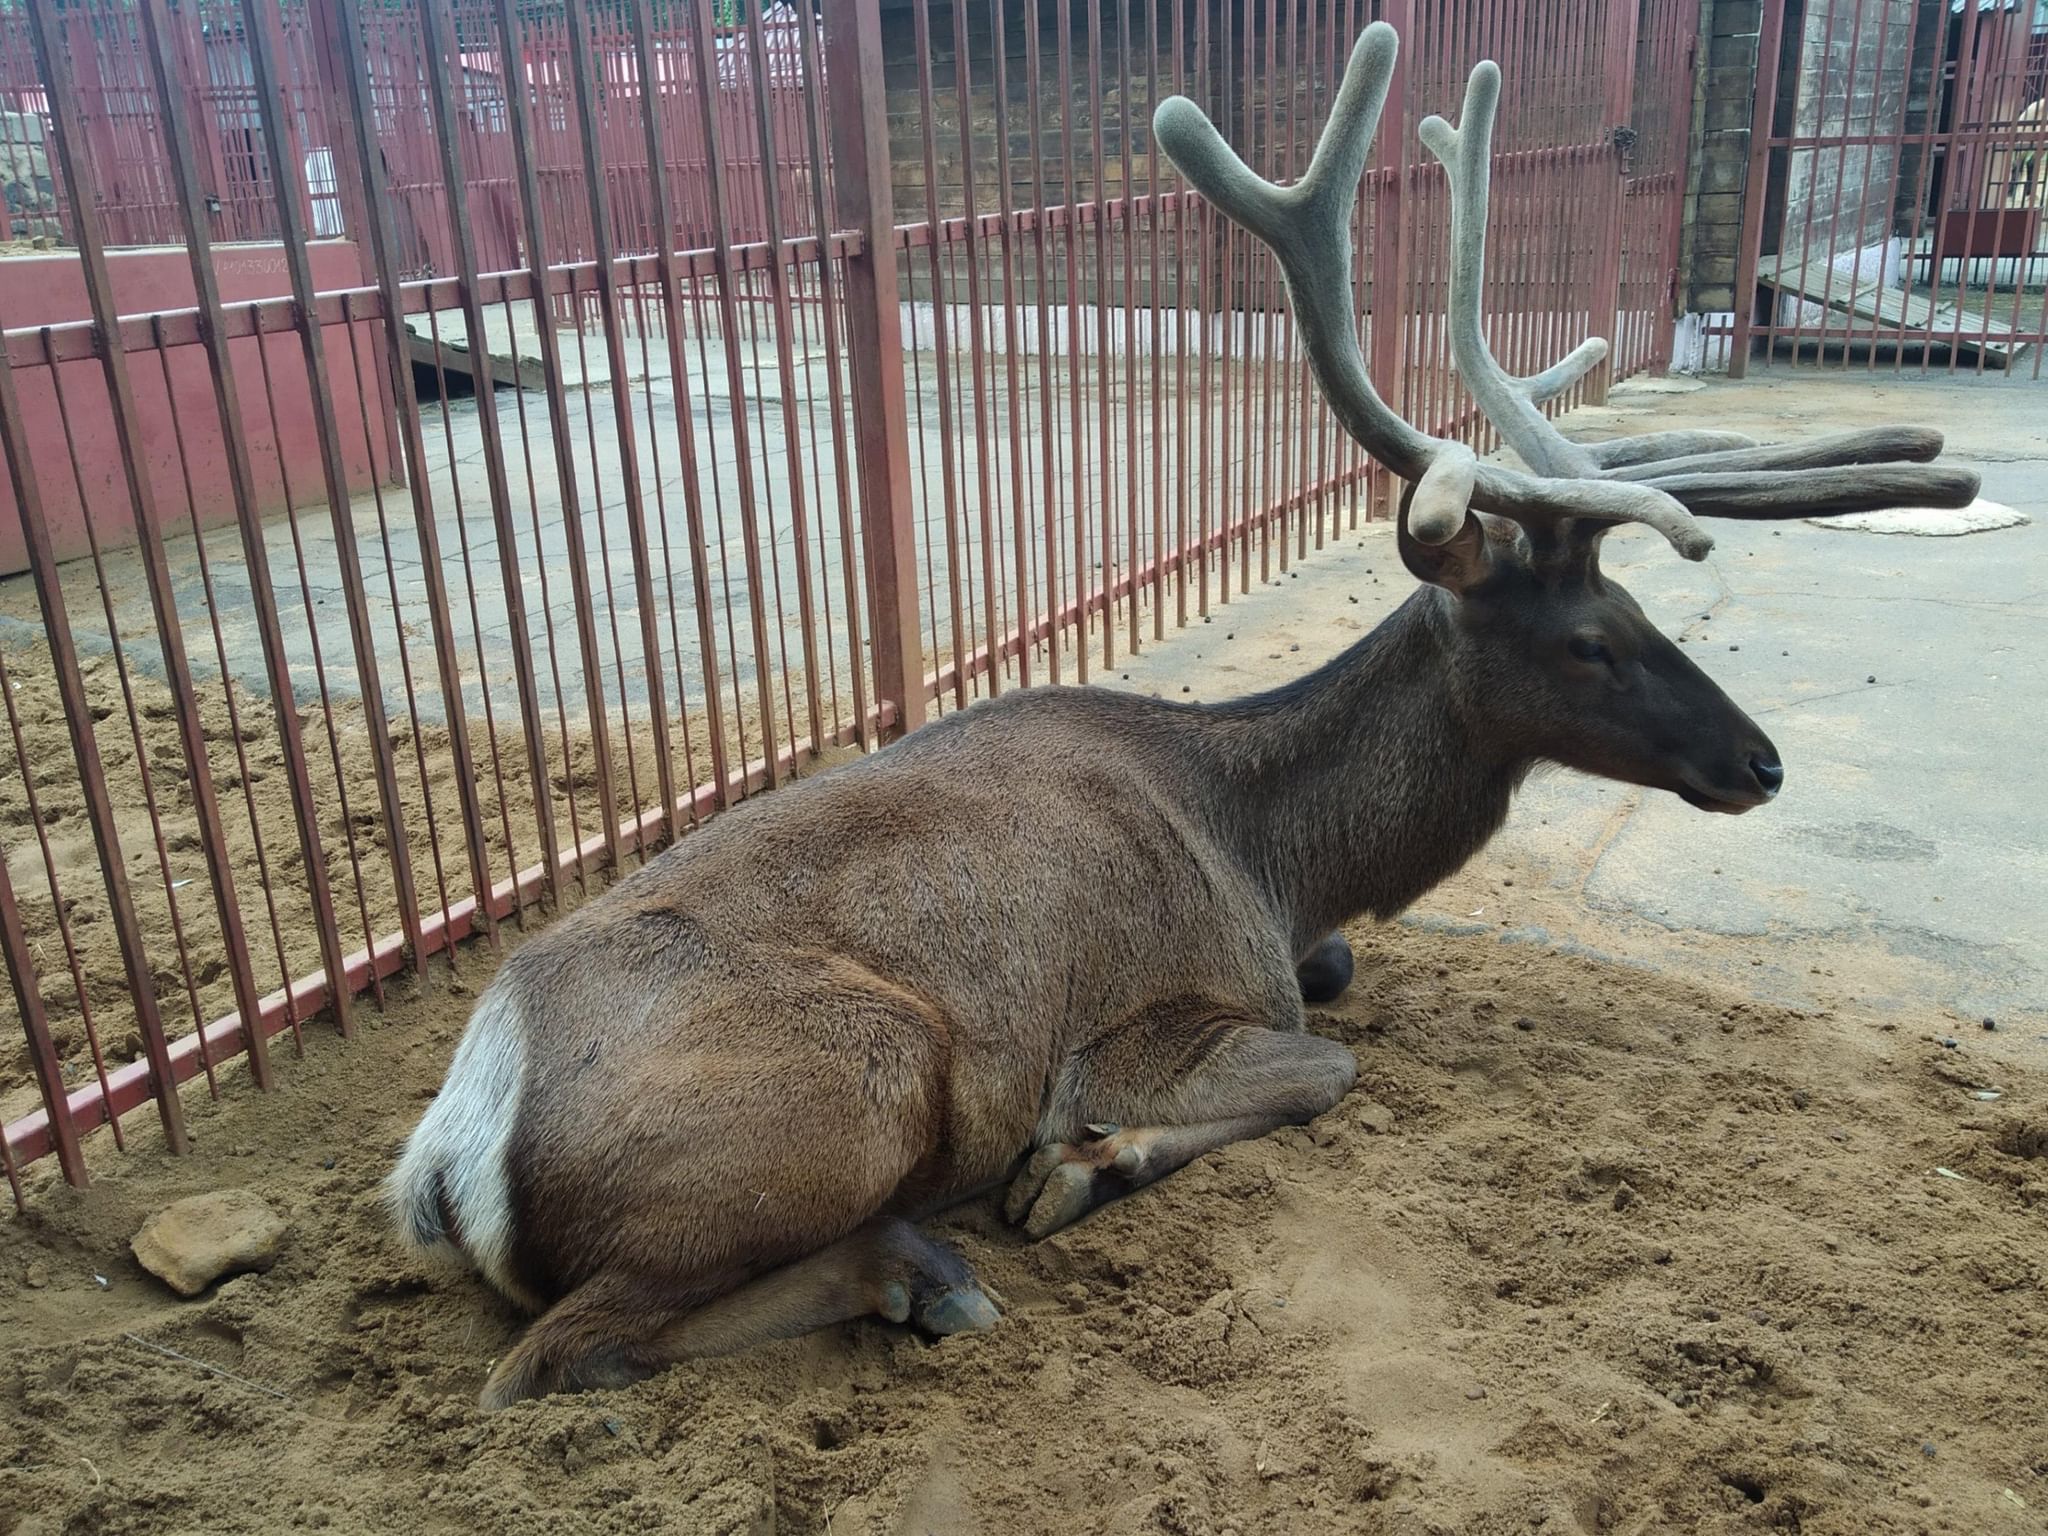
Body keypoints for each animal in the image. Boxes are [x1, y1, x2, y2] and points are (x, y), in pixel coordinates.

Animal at [391, 27, 1974, 1417]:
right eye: (1590, 641)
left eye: (1647, 609)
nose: (1760, 760)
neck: (1269, 848)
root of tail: (452, 1145)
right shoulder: (1153, 1014)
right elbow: (1324, 1062)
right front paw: (1079, 1167)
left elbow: (1338, 985)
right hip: (862, 1077)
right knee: (550, 1358)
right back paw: (920, 1271)